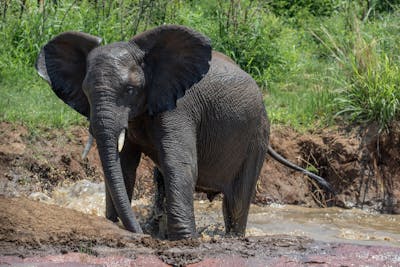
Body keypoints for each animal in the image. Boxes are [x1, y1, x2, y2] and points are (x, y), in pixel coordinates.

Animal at [36, 24, 332, 240]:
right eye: (86, 92)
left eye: (130, 90)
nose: (139, 233)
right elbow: (124, 166)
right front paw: (116, 224)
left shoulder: (181, 107)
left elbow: (180, 163)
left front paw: (186, 240)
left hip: (257, 134)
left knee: (237, 200)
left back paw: (233, 237)